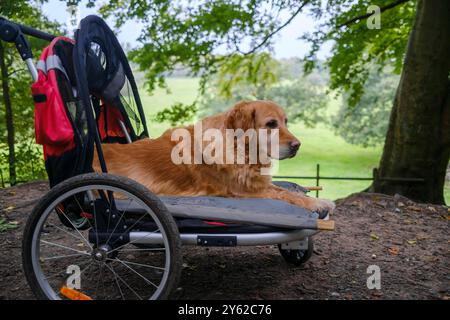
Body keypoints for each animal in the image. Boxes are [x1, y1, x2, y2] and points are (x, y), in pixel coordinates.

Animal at [94, 100, 334, 212]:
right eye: (271, 124)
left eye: (286, 122)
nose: (297, 146)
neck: (240, 149)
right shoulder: (243, 191)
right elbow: (287, 194)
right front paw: (318, 203)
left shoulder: (256, 183)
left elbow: (285, 190)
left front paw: (315, 199)